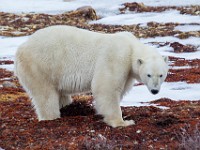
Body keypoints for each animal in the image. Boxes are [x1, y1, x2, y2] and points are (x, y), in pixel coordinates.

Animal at [14, 24, 169, 127]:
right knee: (46, 95)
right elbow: (106, 87)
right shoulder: (116, 57)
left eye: (161, 75)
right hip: (40, 66)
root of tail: (21, 48)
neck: (130, 46)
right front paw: (123, 122)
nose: (155, 91)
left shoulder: (128, 71)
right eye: (149, 75)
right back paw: (52, 117)